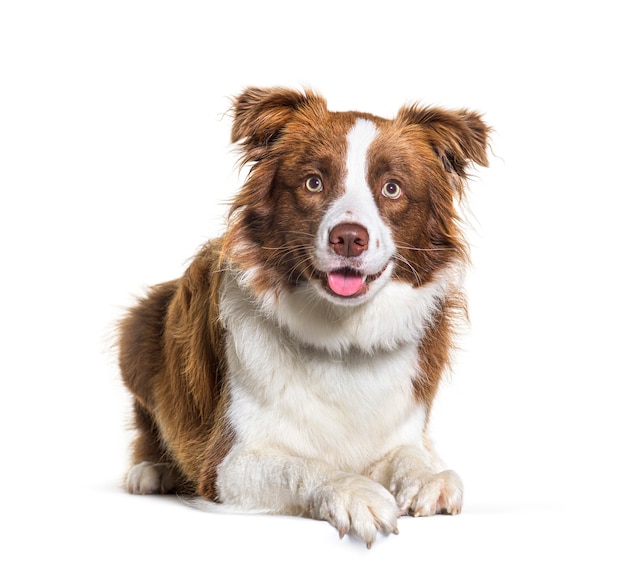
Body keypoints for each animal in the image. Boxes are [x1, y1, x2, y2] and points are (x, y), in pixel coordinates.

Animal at [117, 86, 488, 548]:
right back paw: (153, 470)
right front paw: (354, 492)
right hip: (138, 330)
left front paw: (428, 476)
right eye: (314, 182)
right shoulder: (227, 465)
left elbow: (409, 454)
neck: (345, 338)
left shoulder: (402, 427)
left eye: (392, 188)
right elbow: (304, 465)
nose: (349, 238)